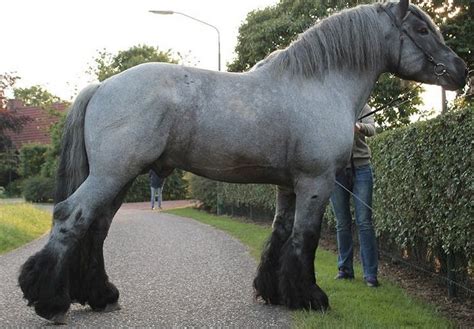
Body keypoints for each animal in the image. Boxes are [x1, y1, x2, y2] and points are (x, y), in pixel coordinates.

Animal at [18, 0, 466, 322]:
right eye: (421, 30)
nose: (460, 70)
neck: (318, 83)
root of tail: (101, 86)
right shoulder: (316, 182)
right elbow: (304, 238)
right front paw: (311, 297)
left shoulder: (289, 185)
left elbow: (280, 235)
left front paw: (275, 293)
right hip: (113, 175)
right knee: (71, 217)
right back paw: (49, 301)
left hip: (120, 179)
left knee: (96, 229)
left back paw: (101, 296)